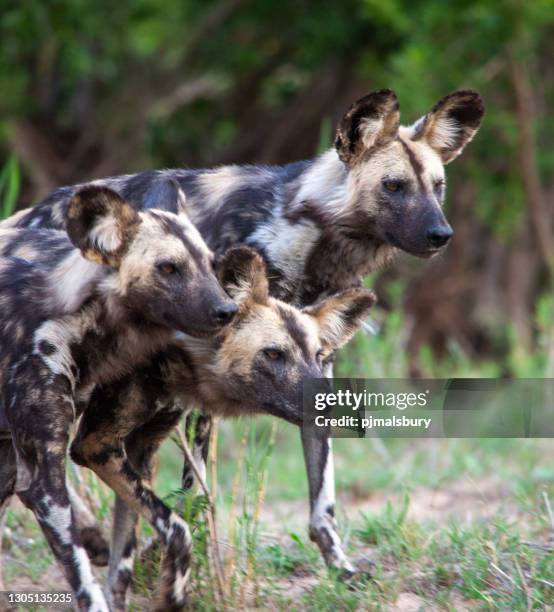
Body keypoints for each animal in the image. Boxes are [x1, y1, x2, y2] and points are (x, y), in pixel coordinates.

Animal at [0, 184, 236, 608]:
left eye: (211, 264)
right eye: (168, 268)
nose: (229, 310)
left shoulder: (108, 453)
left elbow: (171, 531)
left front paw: (172, 594)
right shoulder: (42, 484)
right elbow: (84, 582)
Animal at [62, 247, 374, 608]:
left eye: (319, 355)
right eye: (273, 354)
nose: (328, 401)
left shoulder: (136, 447)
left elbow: (122, 563)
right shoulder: (96, 444)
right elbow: (177, 527)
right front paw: (172, 593)